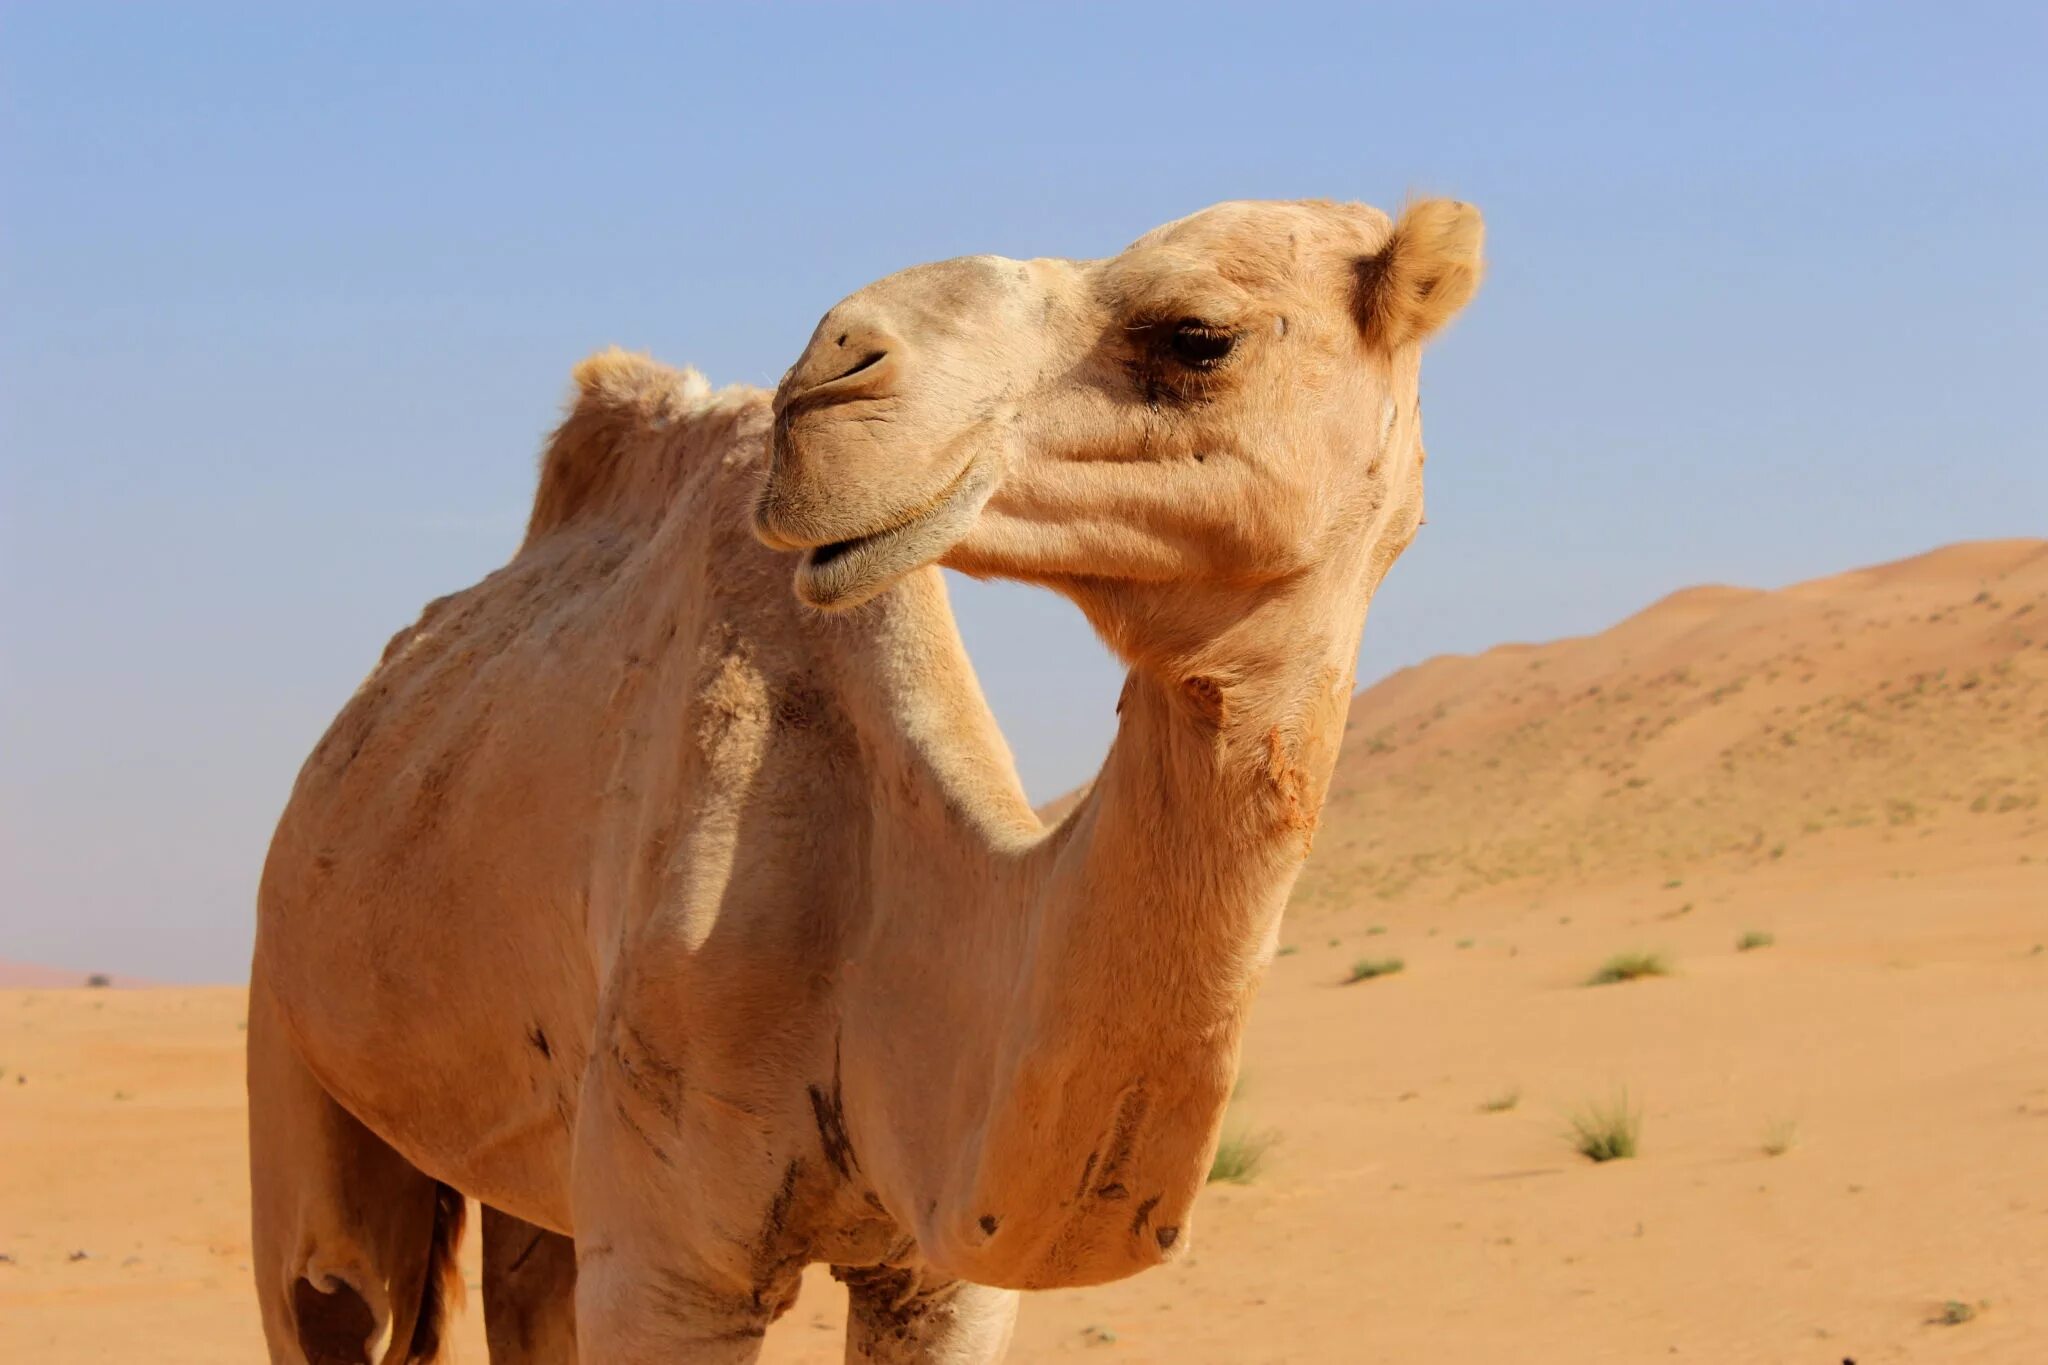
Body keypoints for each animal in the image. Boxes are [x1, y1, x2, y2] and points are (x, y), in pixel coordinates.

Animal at [249, 195, 1483, 1363]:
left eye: (1197, 337)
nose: (826, 375)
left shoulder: (946, 1277)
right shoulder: (665, 1268)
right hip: (292, 1038)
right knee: (327, 1283)